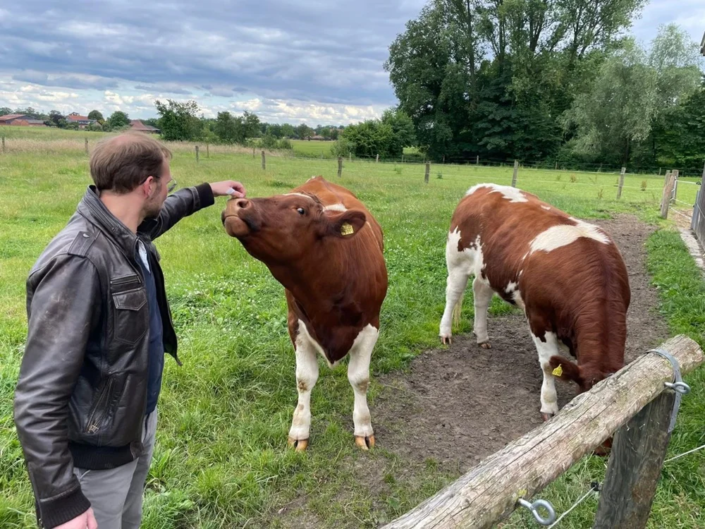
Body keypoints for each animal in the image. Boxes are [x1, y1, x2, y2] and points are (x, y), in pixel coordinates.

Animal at [221, 176, 388, 450]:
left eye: (300, 210)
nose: (236, 202)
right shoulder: (296, 325)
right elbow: (304, 379)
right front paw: (299, 430)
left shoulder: (371, 324)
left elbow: (360, 379)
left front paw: (363, 426)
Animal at [438, 184, 628, 418]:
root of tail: (482, 187)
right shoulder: (539, 318)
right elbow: (549, 364)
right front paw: (549, 404)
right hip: (457, 260)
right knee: (453, 293)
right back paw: (445, 333)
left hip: (488, 268)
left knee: (480, 293)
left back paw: (482, 336)